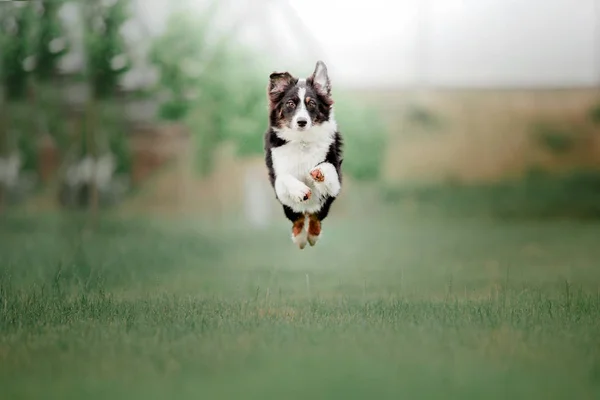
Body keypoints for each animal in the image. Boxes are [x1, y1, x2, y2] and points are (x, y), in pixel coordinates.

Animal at [262, 60, 342, 248]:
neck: (302, 140)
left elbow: (327, 167)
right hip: (288, 206)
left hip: (324, 205)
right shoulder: (278, 182)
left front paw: (319, 172)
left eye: (311, 103)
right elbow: (284, 177)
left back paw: (312, 236)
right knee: (298, 218)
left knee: (314, 217)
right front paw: (299, 189)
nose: (302, 122)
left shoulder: (335, 184)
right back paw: (300, 238)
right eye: (290, 103)